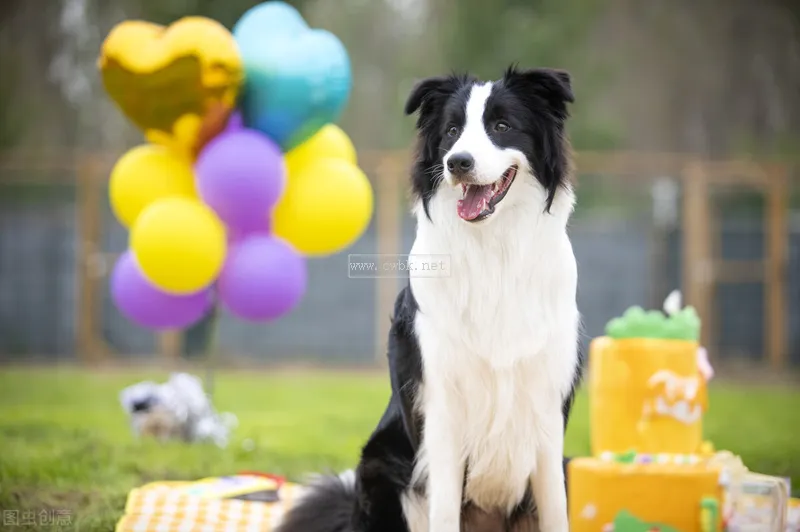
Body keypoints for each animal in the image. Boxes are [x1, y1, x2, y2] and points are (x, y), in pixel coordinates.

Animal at [280, 66, 580, 532]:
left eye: (502, 126)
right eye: (452, 131)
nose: (458, 162)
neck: (495, 250)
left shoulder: (547, 410)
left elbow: (556, 514)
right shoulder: (442, 407)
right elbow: (443, 511)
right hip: (380, 465)